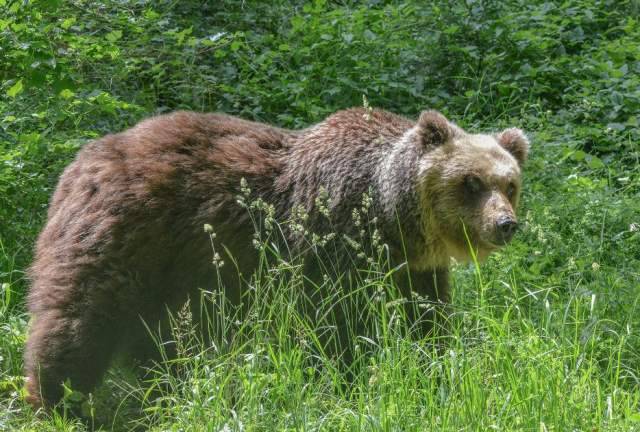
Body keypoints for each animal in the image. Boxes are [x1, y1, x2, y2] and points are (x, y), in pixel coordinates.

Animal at [24, 108, 529, 409]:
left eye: (510, 184)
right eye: (471, 182)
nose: (505, 224)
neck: (391, 219)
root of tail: (81, 161)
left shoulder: (413, 270)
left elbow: (424, 321)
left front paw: (434, 370)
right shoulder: (332, 243)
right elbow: (336, 328)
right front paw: (347, 383)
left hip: (172, 275)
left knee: (163, 341)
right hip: (122, 239)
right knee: (80, 320)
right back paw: (55, 401)